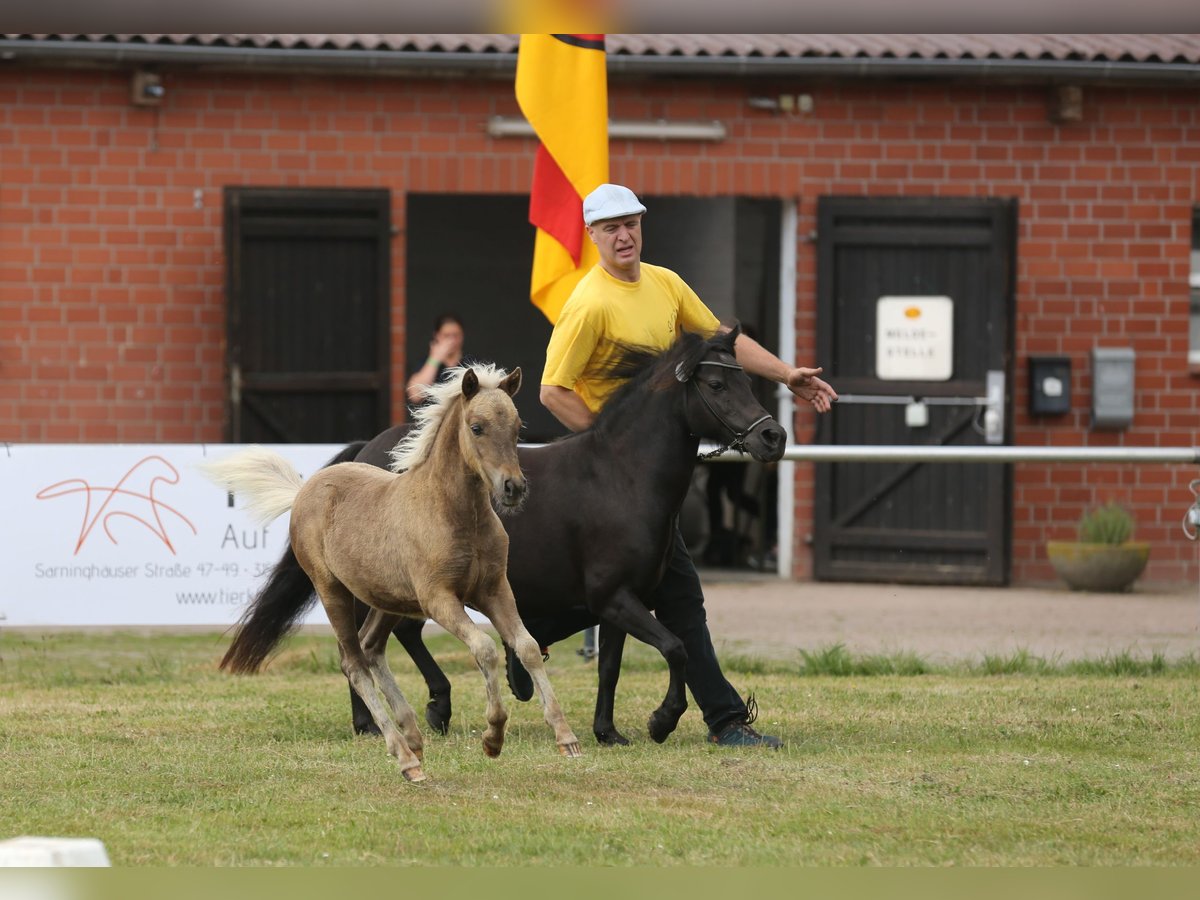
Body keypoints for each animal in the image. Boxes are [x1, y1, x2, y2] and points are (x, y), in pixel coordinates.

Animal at [200, 367, 580, 782]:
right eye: (476, 427)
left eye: (517, 426)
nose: (513, 488)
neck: (456, 513)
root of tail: (303, 490)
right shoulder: (440, 599)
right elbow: (485, 648)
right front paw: (493, 737)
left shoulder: (495, 590)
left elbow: (526, 647)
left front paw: (566, 738)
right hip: (333, 591)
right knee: (353, 663)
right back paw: (405, 756)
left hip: (388, 599)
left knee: (371, 648)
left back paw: (413, 735)